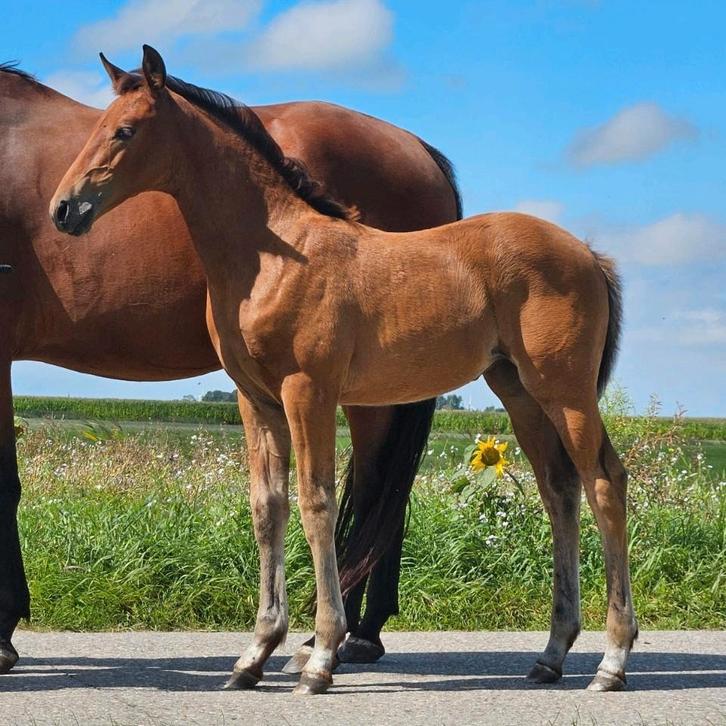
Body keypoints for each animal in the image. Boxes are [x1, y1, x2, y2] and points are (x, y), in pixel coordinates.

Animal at [0, 61, 462, 673]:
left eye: (124, 132)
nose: (64, 209)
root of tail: (419, 149)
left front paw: (4, 632)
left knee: (374, 488)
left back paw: (350, 636)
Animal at [51, 46, 637, 696]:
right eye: (99, 126)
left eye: (125, 131)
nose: (64, 209)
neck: (273, 255)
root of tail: (589, 254)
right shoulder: (255, 399)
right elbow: (268, 507)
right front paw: (253, 655)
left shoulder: (308, 390)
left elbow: (317, 504)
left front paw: (320, 657)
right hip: (518, 390)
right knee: (559, 489)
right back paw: (552, 654)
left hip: (566, 390)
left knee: (605, 483)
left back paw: (612, 662)